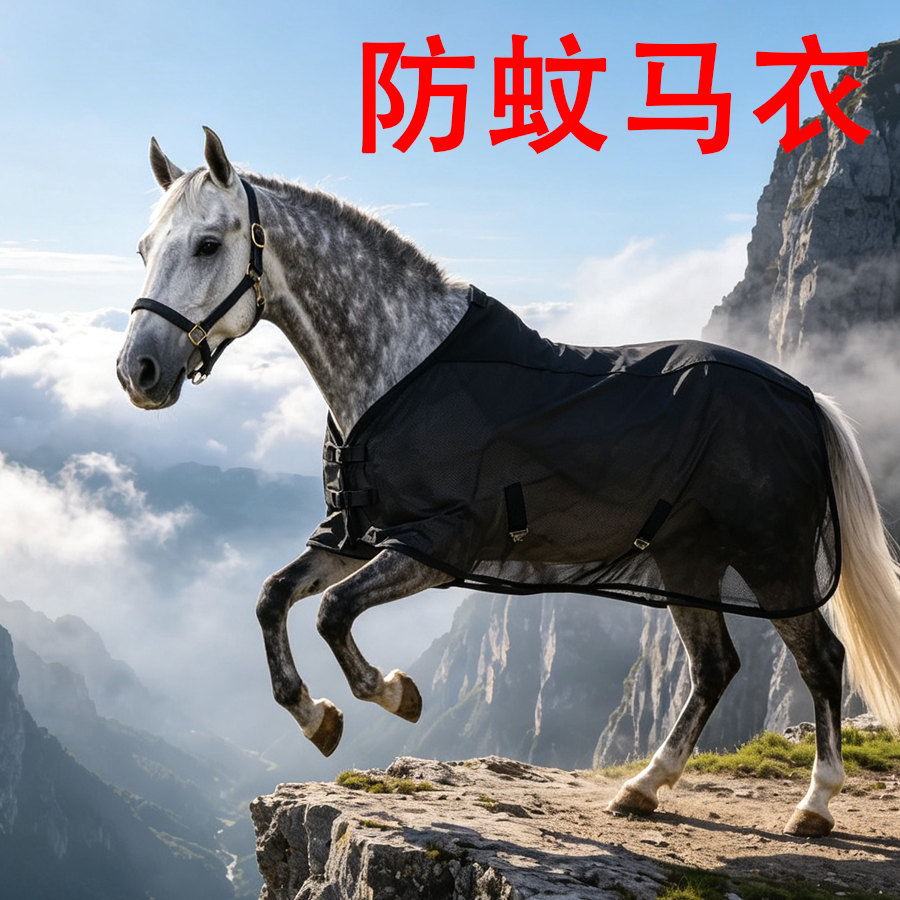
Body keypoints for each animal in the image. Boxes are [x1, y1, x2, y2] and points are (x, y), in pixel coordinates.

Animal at [117, 128, 900, 838]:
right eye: (145, 249)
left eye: (208, 245)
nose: (138, 372)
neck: (400, 367)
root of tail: (803, 399)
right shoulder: (355, 537)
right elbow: (272, 597)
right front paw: (317, 719)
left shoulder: (437, 546)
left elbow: (332, 613)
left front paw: (394, 694)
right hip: (689, 559)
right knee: (714, 667)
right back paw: (645, 787)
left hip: (774, 557)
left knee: (821, 660)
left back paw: (814, 804)